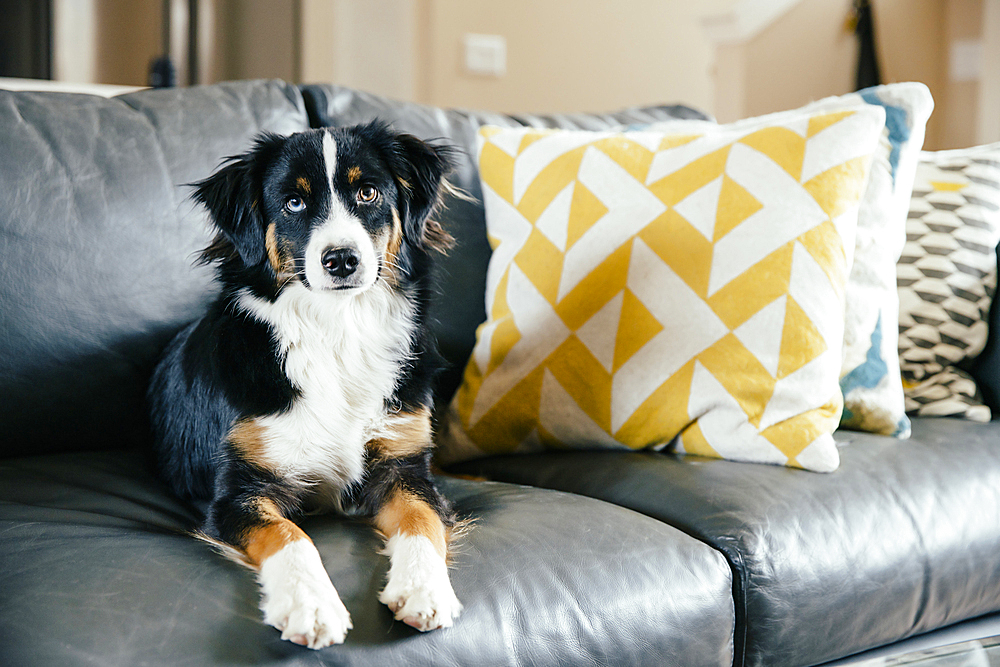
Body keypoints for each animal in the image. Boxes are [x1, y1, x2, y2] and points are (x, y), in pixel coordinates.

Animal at [147, 120, 464, 648]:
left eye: (368, 192)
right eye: (293, 203)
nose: (341, 259)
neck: (337, 329)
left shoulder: (404, 467)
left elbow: (423, 520)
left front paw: (424, 590)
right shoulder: (237, 491)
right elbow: (290, 536)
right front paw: (310, 606)